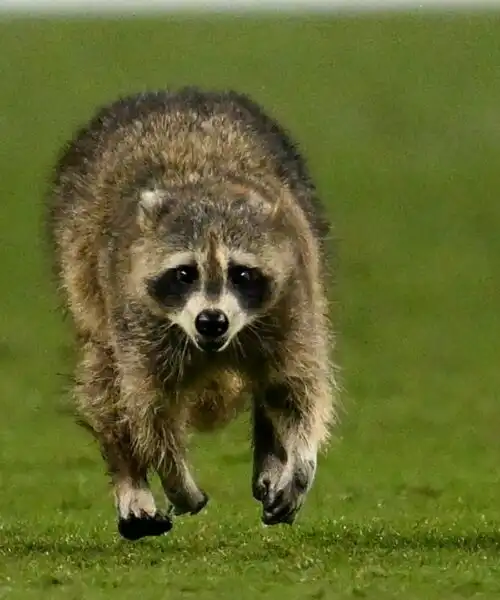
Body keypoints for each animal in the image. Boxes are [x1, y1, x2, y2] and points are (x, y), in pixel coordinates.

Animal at [47, 86, 338, 540]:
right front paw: (174, 477)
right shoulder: (136, 316)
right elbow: (149, 407)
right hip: (85, 278)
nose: (212, 320)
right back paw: (132, 482)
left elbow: (298, 389)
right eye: (185, 273)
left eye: (241, 273)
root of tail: (175, 95)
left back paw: (273, 453)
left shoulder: (293, 299)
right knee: (103, 381)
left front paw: (299, 461)